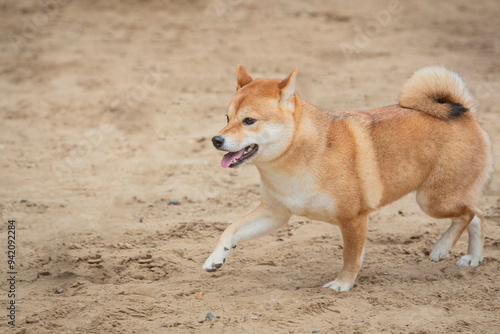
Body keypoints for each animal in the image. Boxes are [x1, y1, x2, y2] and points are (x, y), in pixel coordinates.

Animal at [203, 64, 492, 290]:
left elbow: (350, 257)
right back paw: (473, 258)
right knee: (477, 214)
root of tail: (466, 112)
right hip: (440, 199)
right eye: (227, 118)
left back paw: (442, 248)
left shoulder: (353, 218)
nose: (216, 140)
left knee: (469, 214)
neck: (297, 159)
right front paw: (216, 257)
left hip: (432, 201)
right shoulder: (275, 214)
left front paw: (342, 284)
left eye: (249, 121)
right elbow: (230, 229)